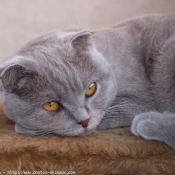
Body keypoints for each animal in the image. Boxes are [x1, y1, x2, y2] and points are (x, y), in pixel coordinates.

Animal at [0, 14, 175, 149]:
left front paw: (23, 127)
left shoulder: (139, 100)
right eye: (51, 105)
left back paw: (147, 122)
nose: (84, 121)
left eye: (91, 88)